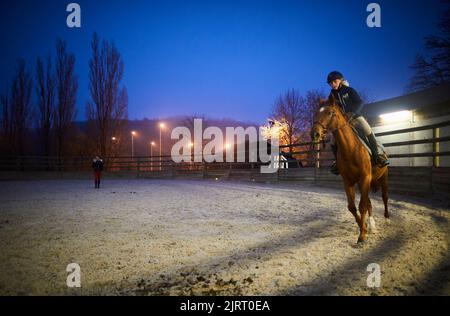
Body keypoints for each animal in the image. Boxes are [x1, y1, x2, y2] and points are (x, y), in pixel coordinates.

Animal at [312, 95, 388, 243]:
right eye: (316, 113)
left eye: (330, 112)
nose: (314, 134)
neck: (351, 149)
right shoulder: (348, 182)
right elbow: (352, 207)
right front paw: (363, 228)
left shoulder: (365, 178)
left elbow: (362, 206)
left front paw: (362, 235)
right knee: (369, 202)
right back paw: (372, 225)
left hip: (383, 178)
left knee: (384, 197)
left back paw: (387, 219)